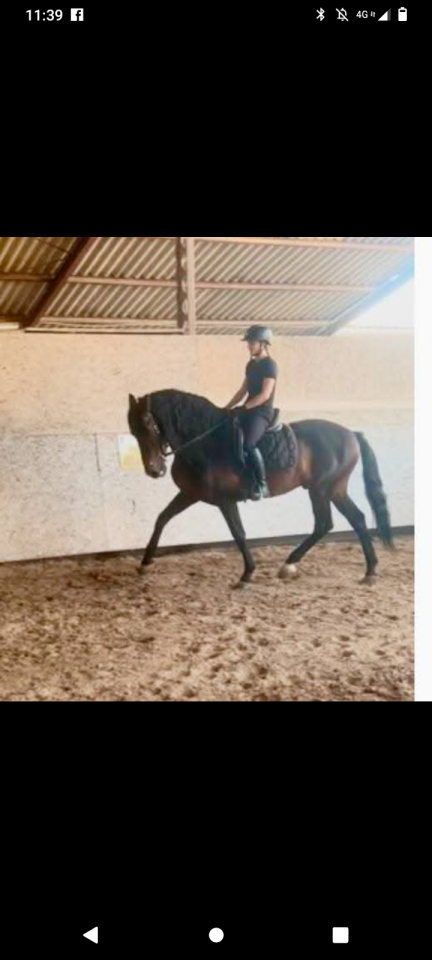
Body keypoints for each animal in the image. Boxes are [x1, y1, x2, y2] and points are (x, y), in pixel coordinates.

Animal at [128, 390, 394, 589]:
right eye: (133, 430)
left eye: (150, 424)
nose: (154, 470)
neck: (204, 444)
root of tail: (351, 434)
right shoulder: (190, 494)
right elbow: (162, 518)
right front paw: (145, 562)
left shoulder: (225, 500)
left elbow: (238, 533)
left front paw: (246, 575)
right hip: (333, 489)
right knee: (352, 519)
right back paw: (368, 571)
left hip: (321, 489)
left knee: (327, 523)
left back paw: (293, 565)